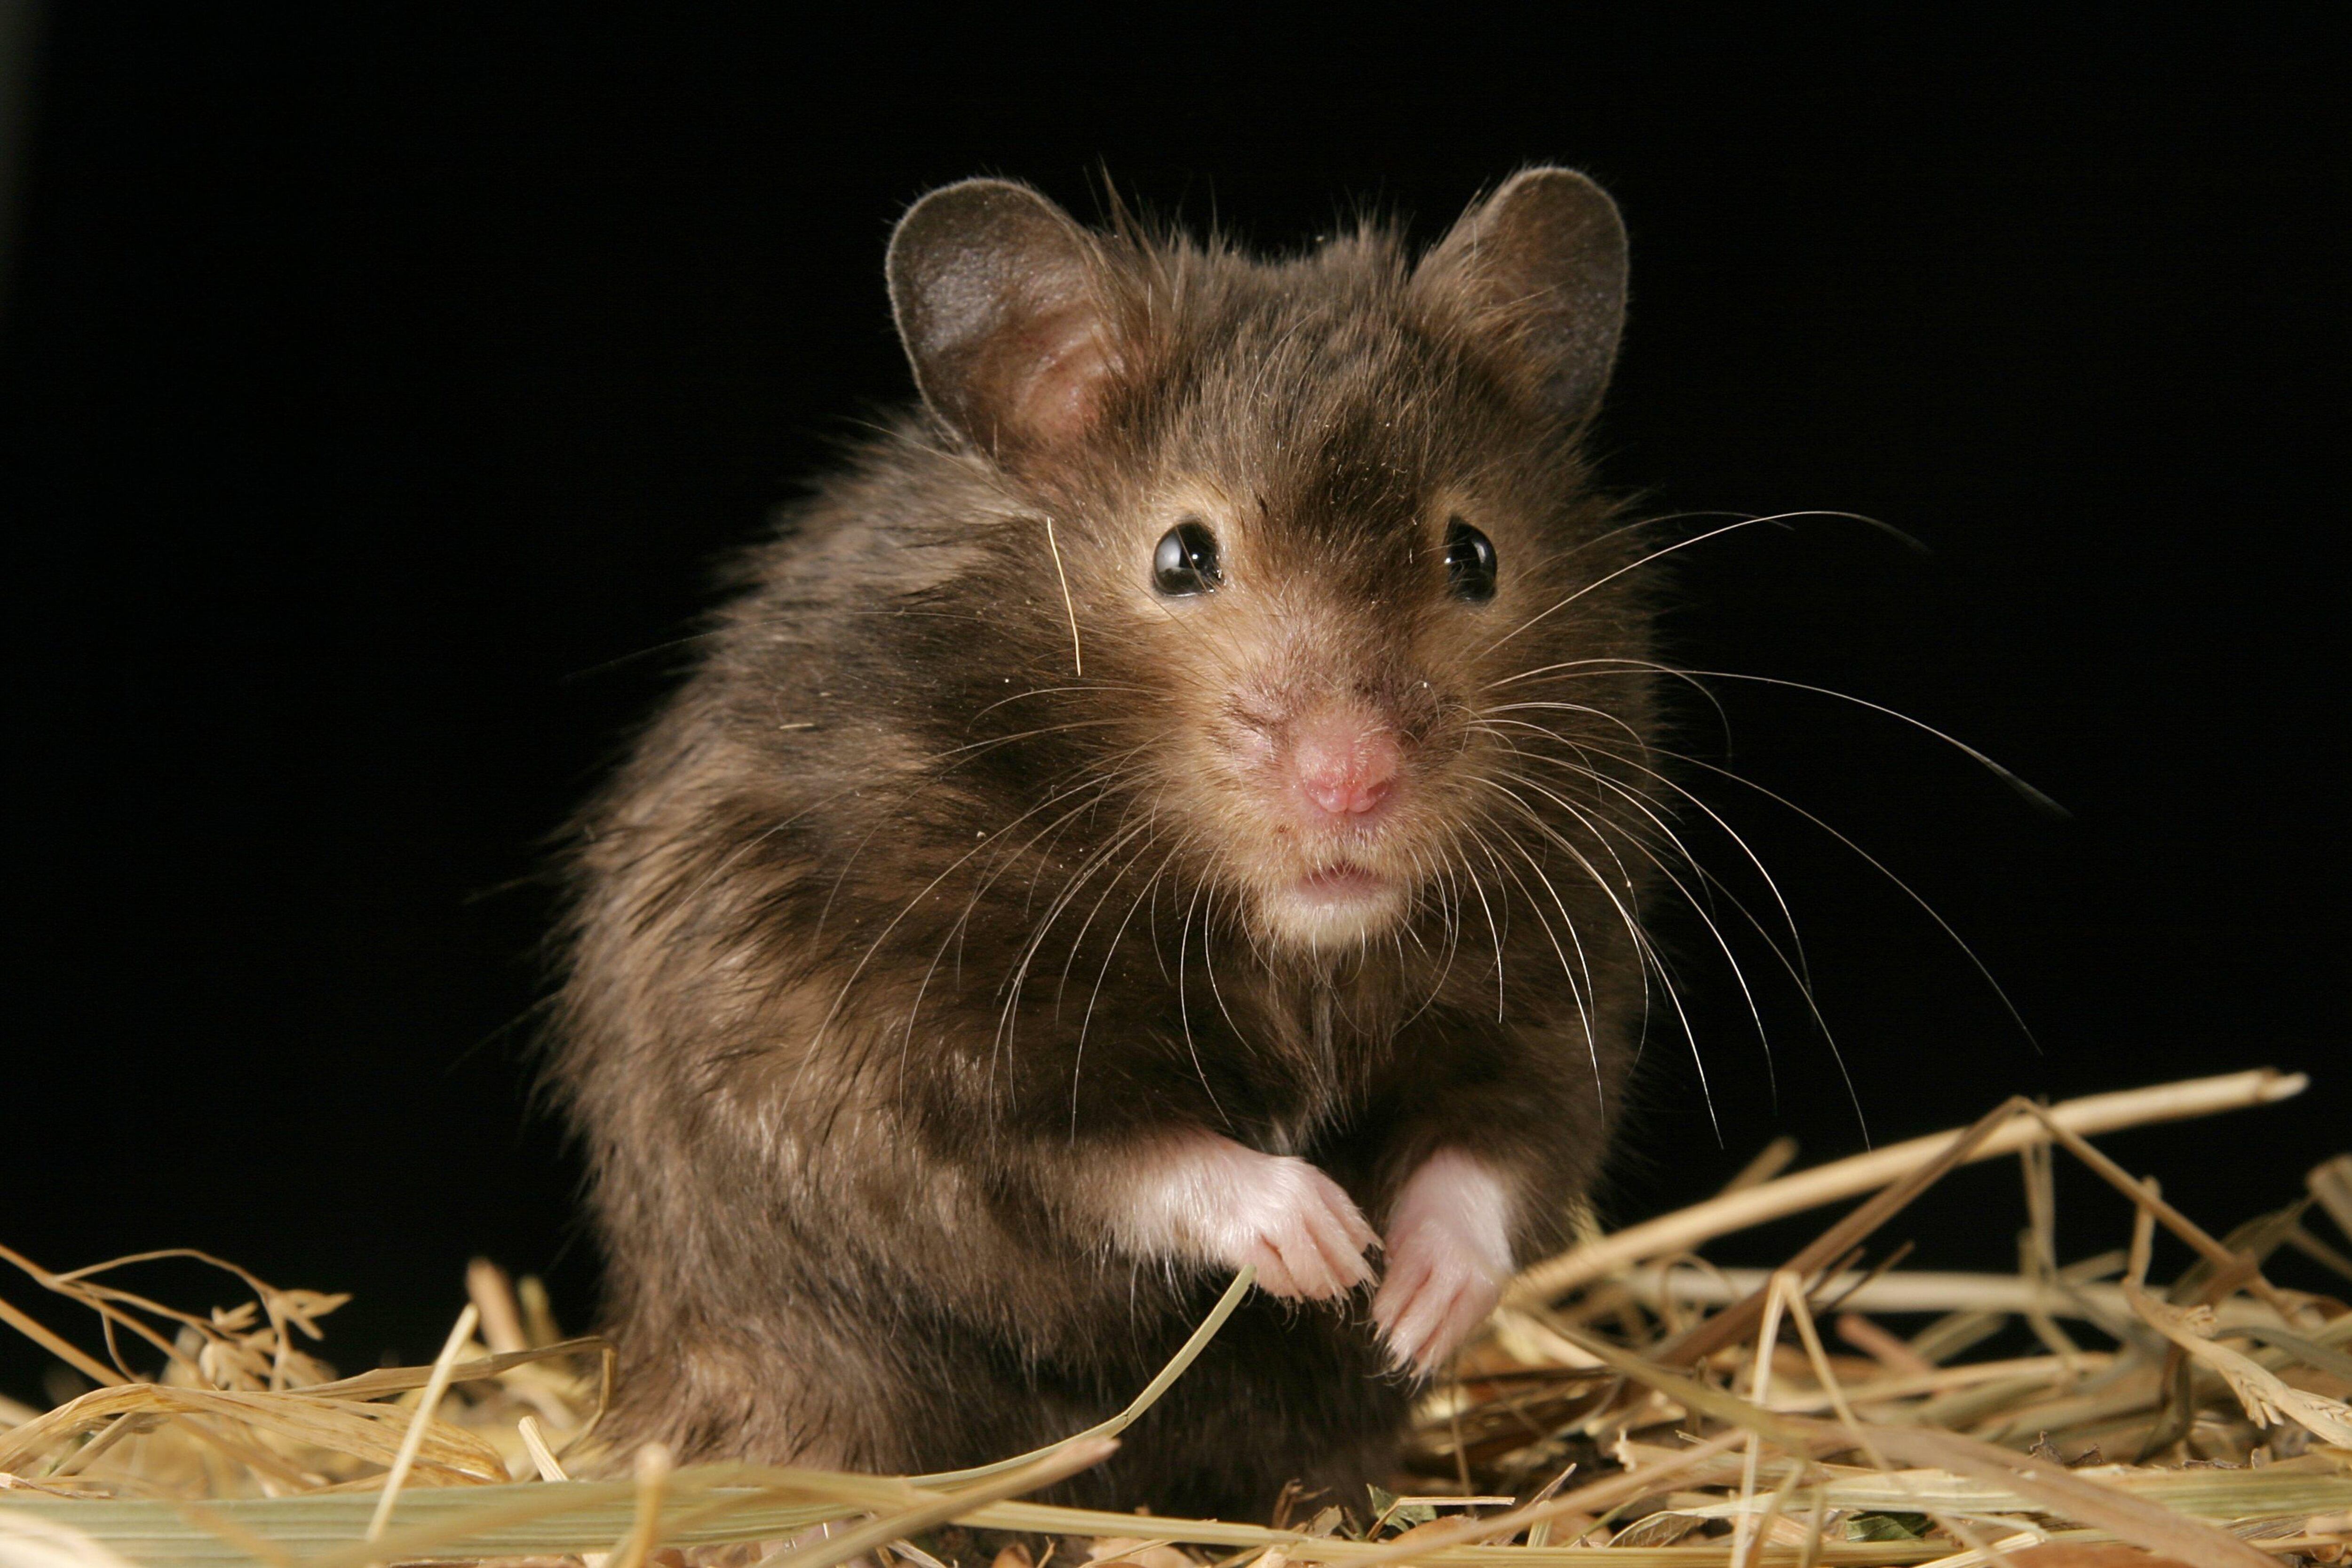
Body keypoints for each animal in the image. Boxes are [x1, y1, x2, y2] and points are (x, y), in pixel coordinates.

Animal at [551, 168, 1657, 1520]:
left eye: (1474, 554)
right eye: (1183, 555)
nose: (1352, 782)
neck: (1292, 945)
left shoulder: (1560, 984)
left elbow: (1499, 1150)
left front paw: (1405, 1307)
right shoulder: (884, 1040)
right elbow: (1104, 1158)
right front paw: (1324, 1239)